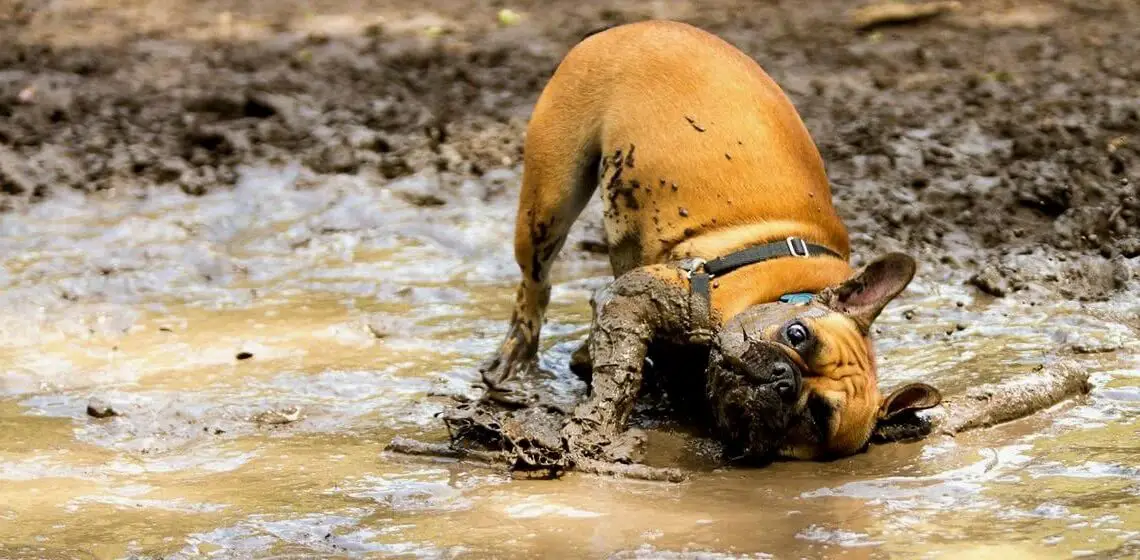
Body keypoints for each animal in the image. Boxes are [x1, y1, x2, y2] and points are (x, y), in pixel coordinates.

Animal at [483, 19, 943, 463]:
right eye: (796, 335)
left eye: (817, 418)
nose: (785, 379)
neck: (786, 289)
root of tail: (634, 26)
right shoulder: (640, 298)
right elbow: (620, 372)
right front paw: (597, 428)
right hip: (550, 199)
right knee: (535, 282)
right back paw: (515, 358)